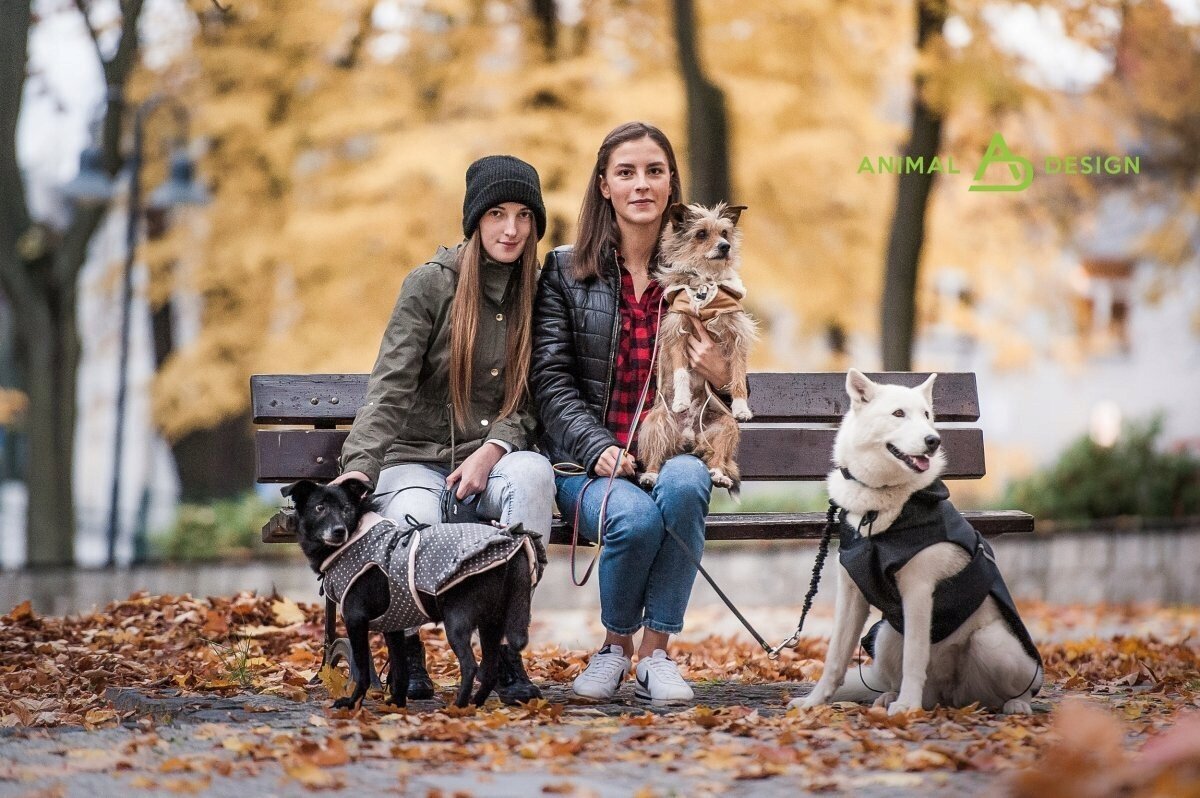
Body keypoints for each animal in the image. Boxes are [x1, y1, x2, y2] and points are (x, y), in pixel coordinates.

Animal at [283, 480, 537, 710]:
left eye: (346, 508)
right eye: (320, 507)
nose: (338, 531)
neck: (356, 537)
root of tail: (513, 546)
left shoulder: (355, 620)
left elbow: (362, 671)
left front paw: (352, 702)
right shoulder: (393, 625)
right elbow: (401, 670)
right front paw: (397, 704)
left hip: (457, 620)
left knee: (470, 666)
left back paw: (458, 708)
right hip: (491, 624)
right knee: (490, 669)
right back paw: (475, 704)